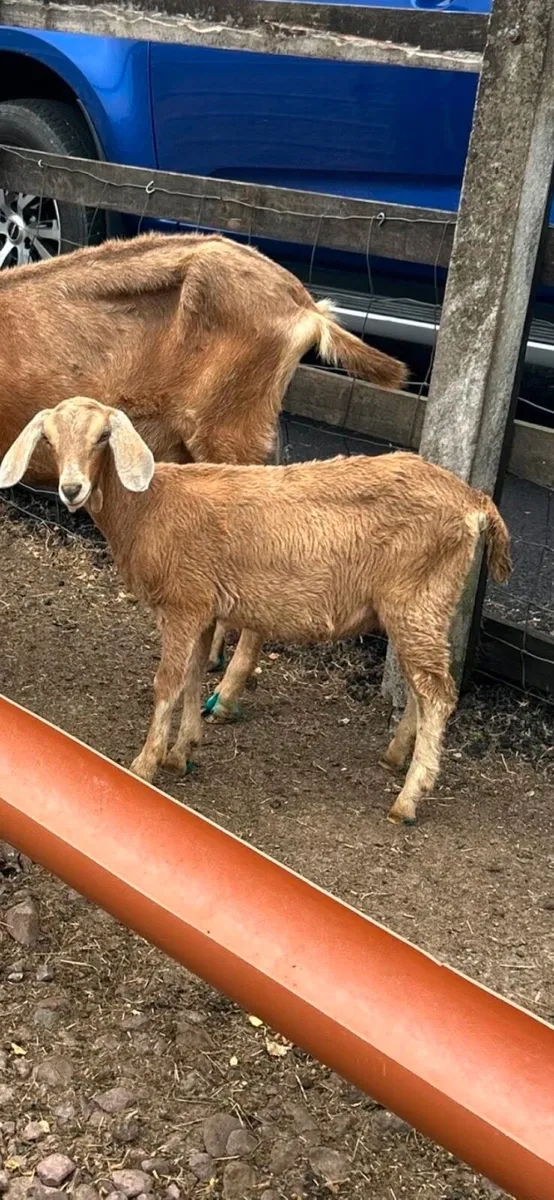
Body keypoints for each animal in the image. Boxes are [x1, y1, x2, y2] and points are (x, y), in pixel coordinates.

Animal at [0, 396, 511, 824]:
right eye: (50, 439)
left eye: (103, 436)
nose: (71, 489)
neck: (150, 508)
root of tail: (474, 502)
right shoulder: (205, 607)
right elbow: (192, 677)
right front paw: (182, 751)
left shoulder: (184, 602)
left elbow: (167, 681)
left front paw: (145, 763)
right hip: (423, 606)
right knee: (422, 687)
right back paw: (396, 756)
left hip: (418, 599)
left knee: (437, 693)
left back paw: (408, 799)